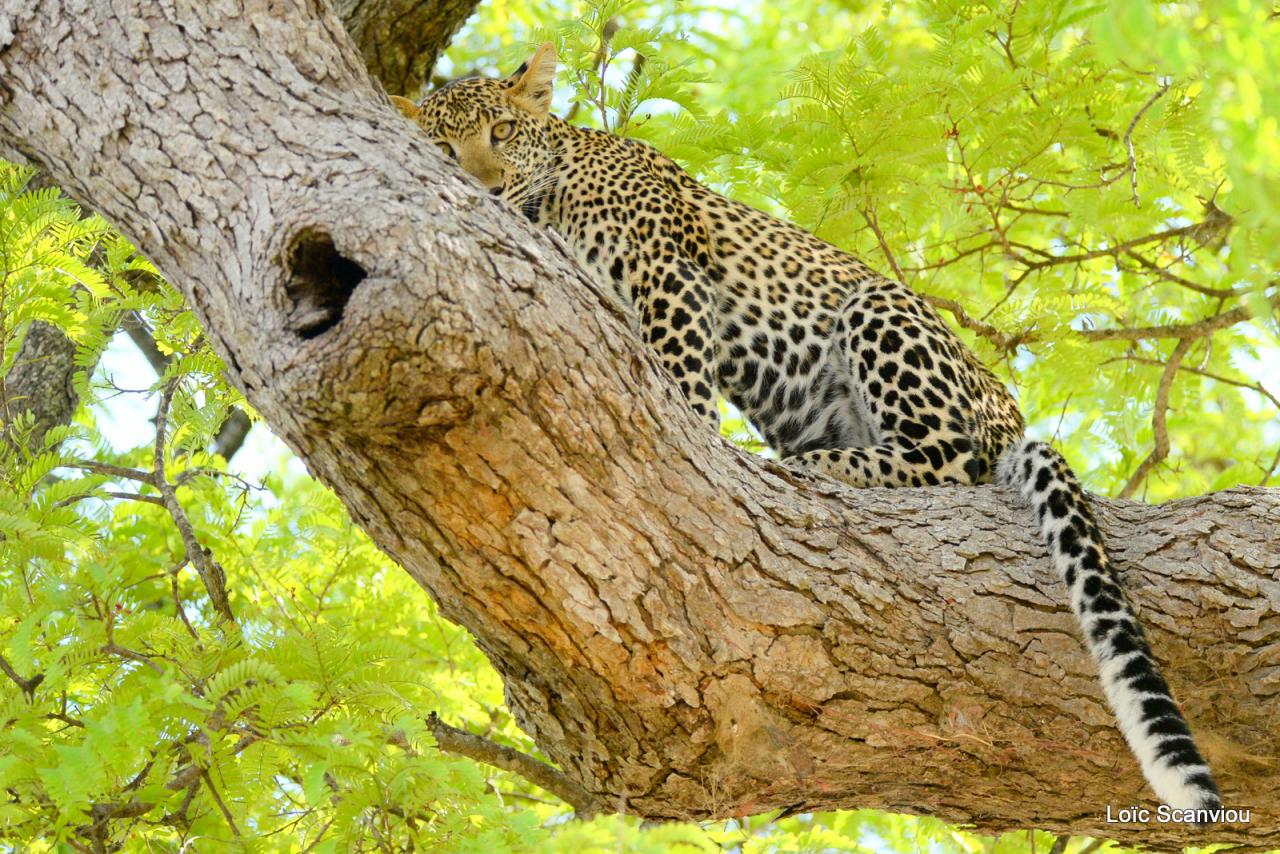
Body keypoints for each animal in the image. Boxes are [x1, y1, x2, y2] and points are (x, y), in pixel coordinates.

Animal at [394, 41, 1223, 814]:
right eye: (444, 148)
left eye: (502, 131)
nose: (484, 188)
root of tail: (1008, 408)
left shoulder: (670, 282)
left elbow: (683, 385)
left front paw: (695, 437)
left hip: (876, 310)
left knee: (950, 462)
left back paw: (821, 466)